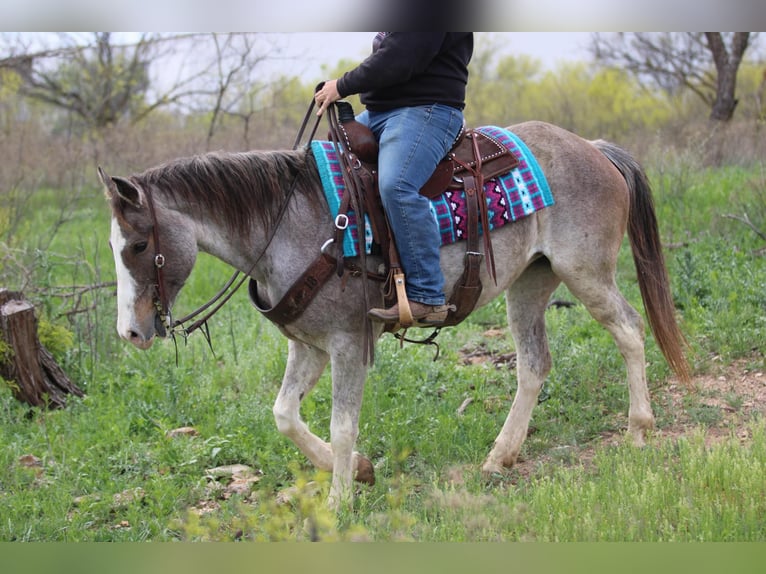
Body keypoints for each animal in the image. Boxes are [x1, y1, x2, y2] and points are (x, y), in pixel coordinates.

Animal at [99, 120, 692, 508]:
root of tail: (592, 148)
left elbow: (341, 426)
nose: (130, 332)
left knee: (629, 330)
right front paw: (359, 473)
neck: (291, 224)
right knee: (534, 365)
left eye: (137, 246)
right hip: (530, 282)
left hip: (585, 272)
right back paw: (500, 456)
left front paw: (338, 503)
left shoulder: (347, 344)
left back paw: (639, 429)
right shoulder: (308, 346)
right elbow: (284, 415)